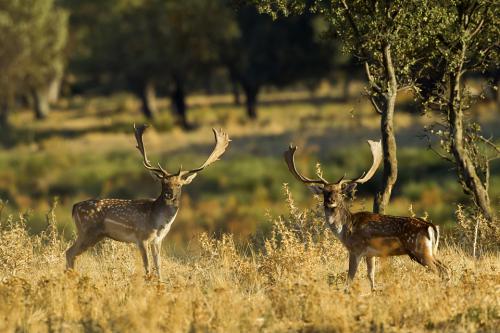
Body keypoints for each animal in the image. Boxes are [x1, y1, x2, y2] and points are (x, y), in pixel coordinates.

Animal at [66, 124, 230, 278]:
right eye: (163, 183)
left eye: (179, 184)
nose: (169, 194)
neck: (159, 223)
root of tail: (74, 207)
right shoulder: (141, 237)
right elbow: (147, 266)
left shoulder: (157, 240)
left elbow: (158, 265)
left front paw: (161, 283)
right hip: (87, 231)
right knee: (69, 252)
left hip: (94, 234)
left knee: (73, 254)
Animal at [286, 139, 450, 290]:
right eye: (325, 192)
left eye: (339, 192)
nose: (330, 201)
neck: (345, 229)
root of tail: (431, 227)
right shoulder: (370, 254)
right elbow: (371, 276)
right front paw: (374, 292)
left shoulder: (356, 249)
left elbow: (350, 279)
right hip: (431, 251)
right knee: (446, 268)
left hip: (419, 250)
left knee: (442, 270)